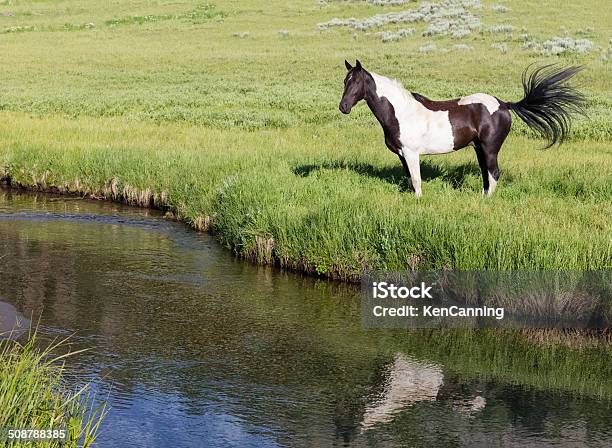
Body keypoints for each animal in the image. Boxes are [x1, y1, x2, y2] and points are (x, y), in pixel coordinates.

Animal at [340, 60, 584, 197]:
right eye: (345, 81)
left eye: (356, 82)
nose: (343, 107)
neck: (401, 112)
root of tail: (503, 104)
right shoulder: (402, 154)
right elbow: (410, 179)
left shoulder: (411, 153)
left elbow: (417, 180)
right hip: (479, 149)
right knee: (486, 174)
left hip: (490, 148)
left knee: (494, 173)